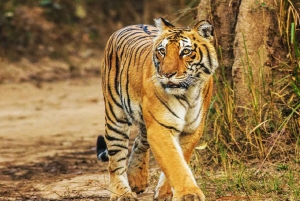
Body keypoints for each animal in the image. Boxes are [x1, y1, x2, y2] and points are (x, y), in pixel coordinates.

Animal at [98, 17, 218, 201]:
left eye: (185, 52)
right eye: (162, 51)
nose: (167, 74)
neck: (187, 93)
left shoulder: (192, 129)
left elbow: (181, 158)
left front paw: (165, 193)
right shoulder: (160, 127)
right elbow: (174, 161)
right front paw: (188, 193)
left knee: (140, 141)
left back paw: (136, 179)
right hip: (115, 115)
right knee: (116, 160)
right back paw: (122, 193)